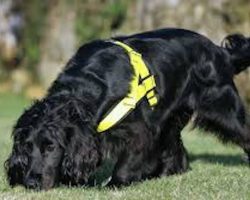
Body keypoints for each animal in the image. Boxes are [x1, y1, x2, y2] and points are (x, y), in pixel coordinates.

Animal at [4, 27, 250, 189]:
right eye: (27, 147)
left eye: (51, 147)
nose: (31, 182)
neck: (84, 87)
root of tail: (220, 52)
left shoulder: (139, 130)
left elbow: (127, 161)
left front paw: (116, 183)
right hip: (170, 119)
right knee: (175, 150)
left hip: (223, 109)